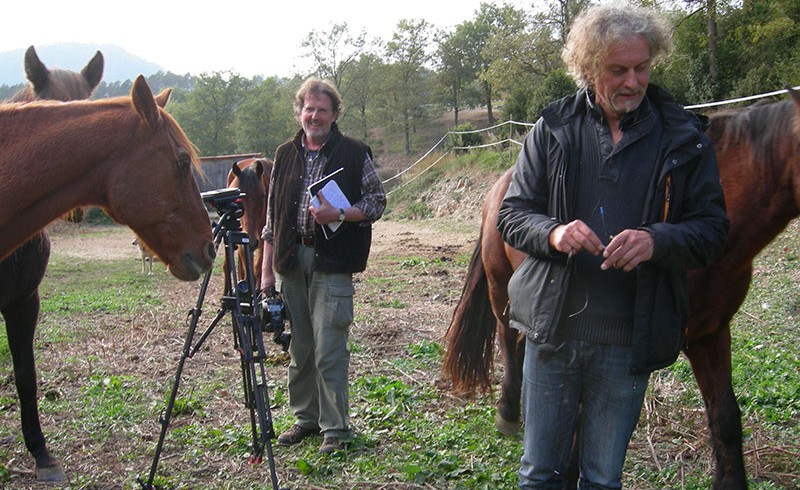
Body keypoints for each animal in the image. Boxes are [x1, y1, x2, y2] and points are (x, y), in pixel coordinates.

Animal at [444, 89, 800, 490]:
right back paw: (508, 411)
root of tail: (504, 182)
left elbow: (725, 416)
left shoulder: (710, 334)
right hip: (500, 288)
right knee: (508, 341)